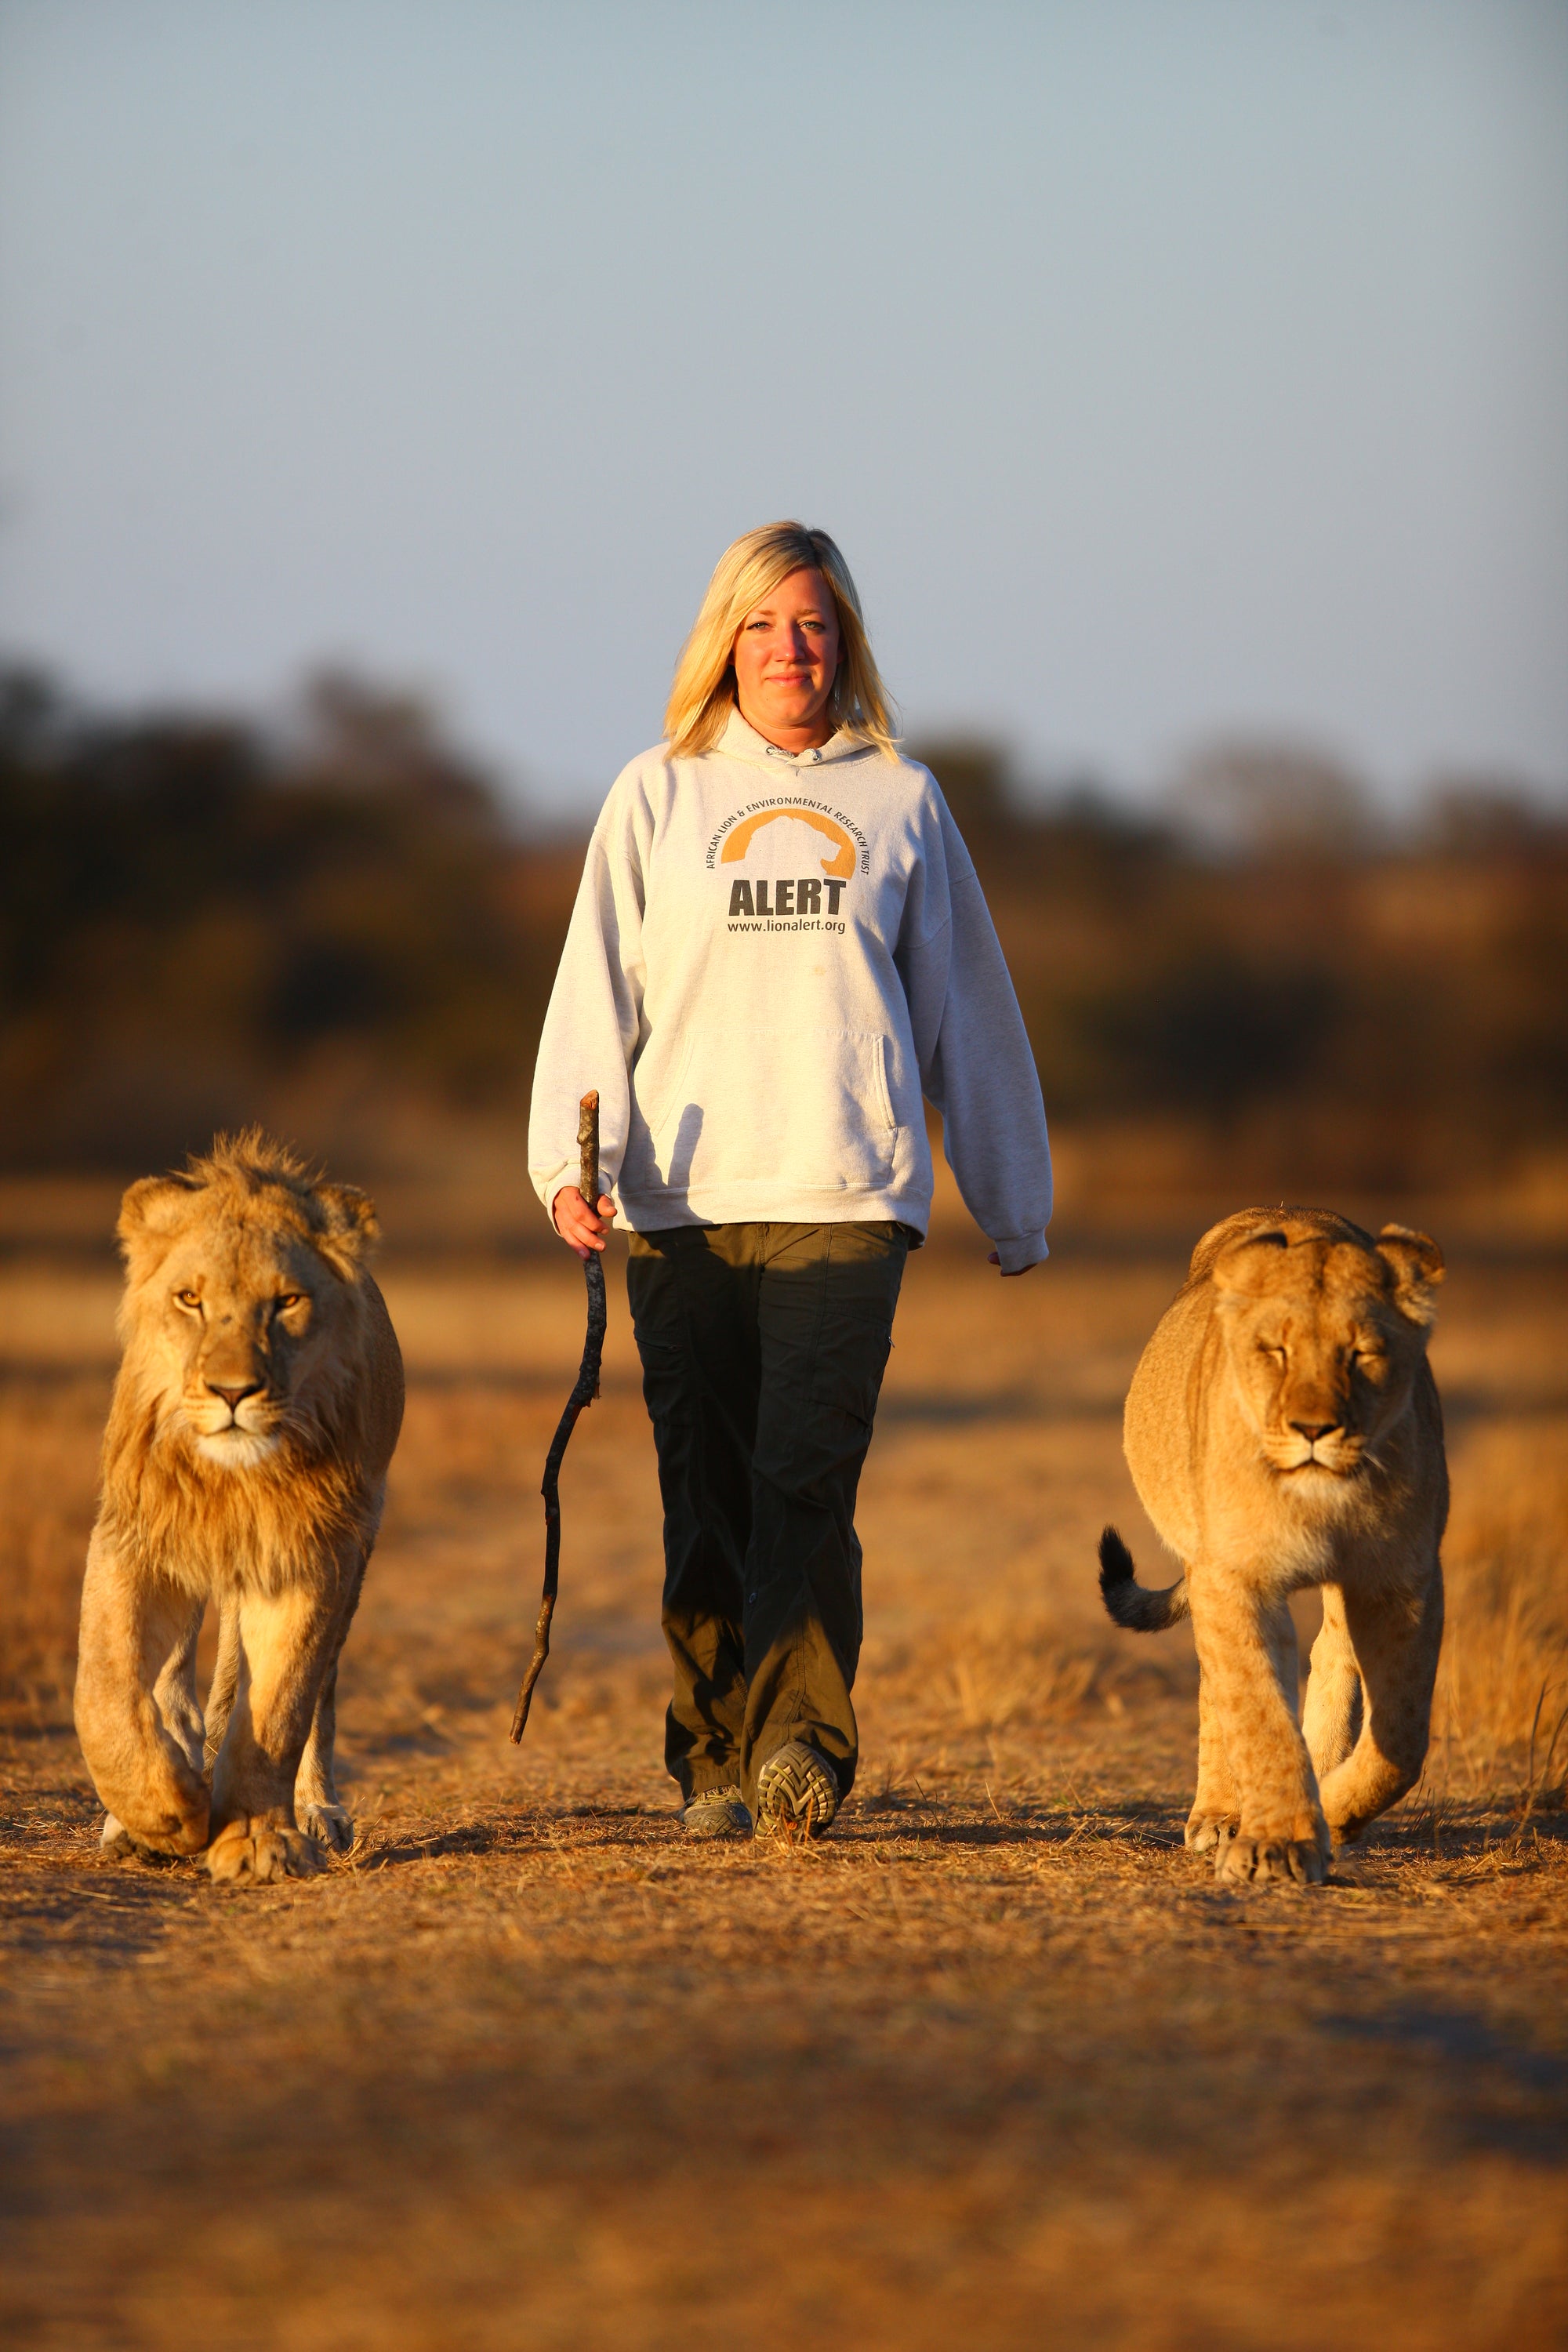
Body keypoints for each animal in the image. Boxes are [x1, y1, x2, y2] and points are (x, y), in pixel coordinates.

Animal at [74, 1132, 404, 1885]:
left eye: (286, 1301)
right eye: (190, 1299)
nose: (232, 1392)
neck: (235, 1482)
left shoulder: (311, 1553)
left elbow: (280, 1707)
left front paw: (257, 1840)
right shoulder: (135, 1533)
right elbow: (105, 1687)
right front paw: (164, 1814)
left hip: (358, 1549)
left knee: (320, 1691)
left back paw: (315, 1808)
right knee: (173, 1677)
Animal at [1098, 1206, 1447, 1887]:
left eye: (1361, 1353)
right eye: (1276, 1352)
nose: (1313, 1430)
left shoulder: (1402, 1579)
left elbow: (1402, 1736)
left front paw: (1332, 1813)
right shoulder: (1234, 1575)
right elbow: (1257, 1710)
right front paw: (1278, 1843)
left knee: (1333, 1656)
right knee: (1218, 1687)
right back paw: (1218, 1815)